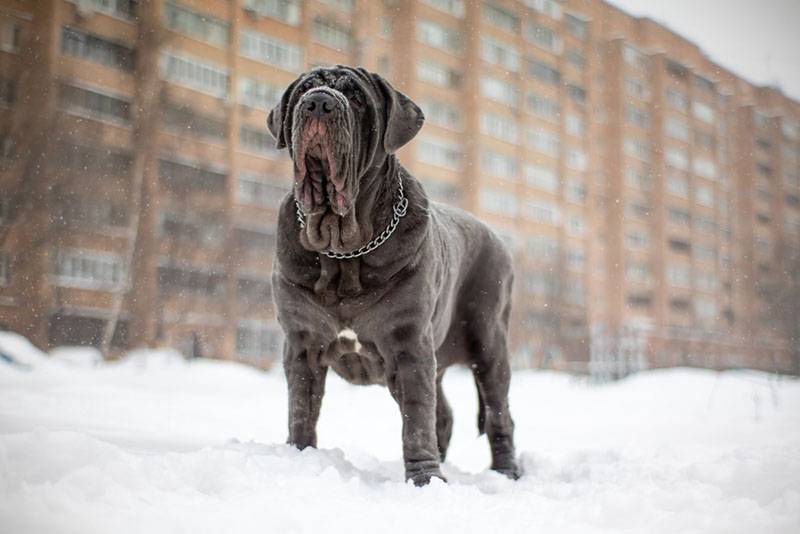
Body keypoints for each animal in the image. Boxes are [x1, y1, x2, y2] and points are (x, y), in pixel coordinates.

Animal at [266, 65, 520, 488]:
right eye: (304, 89)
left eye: (355, 96)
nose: (318, 102)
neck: (344, 250)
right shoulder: (301, 342)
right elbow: (301, 409)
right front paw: (298, 457)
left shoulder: (408, 344)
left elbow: (416, 420)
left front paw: (425, 480)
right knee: (444, 414)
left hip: (490, 343)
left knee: (499, 414)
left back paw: (506, 473)